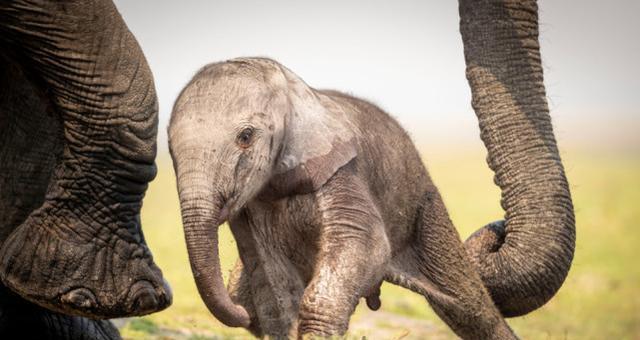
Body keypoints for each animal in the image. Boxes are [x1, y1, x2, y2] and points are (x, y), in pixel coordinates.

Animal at [169, 57, 516, 338]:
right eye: (169, 149)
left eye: (245, 136)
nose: (237, 315)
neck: (293, 89)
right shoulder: (253, 209)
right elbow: (270, 276)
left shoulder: (343, 170)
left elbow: (364, 244)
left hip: (422, 202)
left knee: (472, 307)